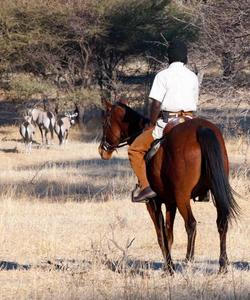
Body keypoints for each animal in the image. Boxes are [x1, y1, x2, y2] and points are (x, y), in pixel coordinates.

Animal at [98, 101, 239, 274]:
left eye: (105, 123)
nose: (102, 150)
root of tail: (200, 128)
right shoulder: (170, 203)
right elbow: (169, 233)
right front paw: (168, 266)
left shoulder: (153, 203)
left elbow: (161, 235)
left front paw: (169, 268)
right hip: (215, 192)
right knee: (221, 223)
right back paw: (222, 265)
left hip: (182, 197)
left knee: (191, 225)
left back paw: (188, 262)